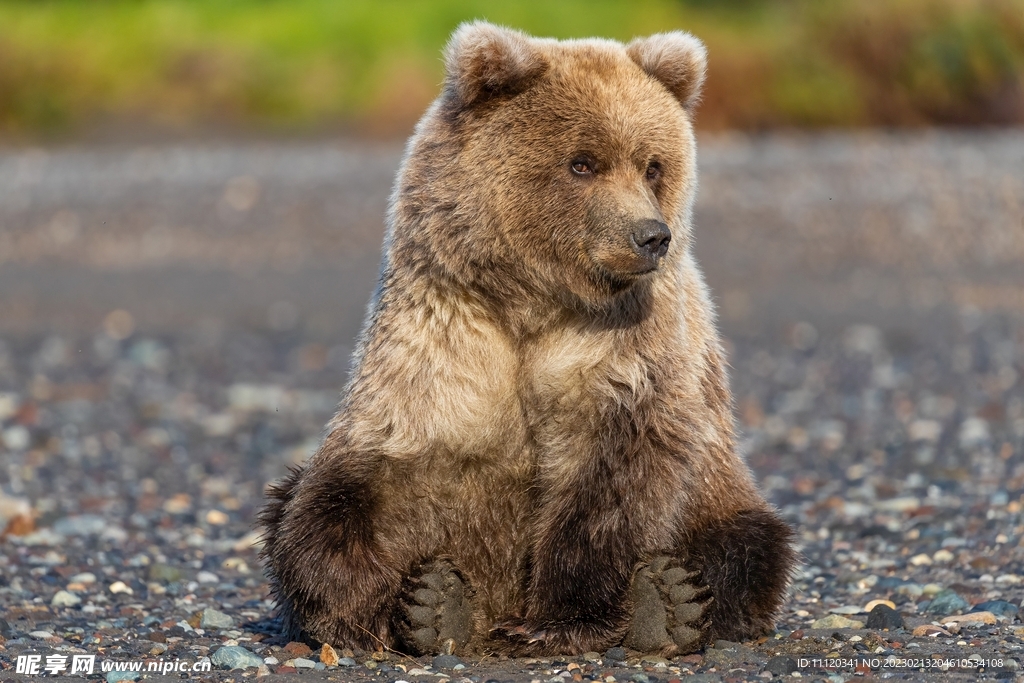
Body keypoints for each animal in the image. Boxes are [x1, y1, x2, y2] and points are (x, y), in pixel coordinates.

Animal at [258, 21, 798, 655]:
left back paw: (668, 602)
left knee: (748, 543)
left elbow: (613, 482)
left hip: (719, 490)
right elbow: (347, 494)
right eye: (583, 163)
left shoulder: (626, 355)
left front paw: (564, 619)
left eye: (652, 165)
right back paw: (442, 608)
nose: (651, 236)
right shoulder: (443, 341)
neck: (533, 303)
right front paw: (375, 605)